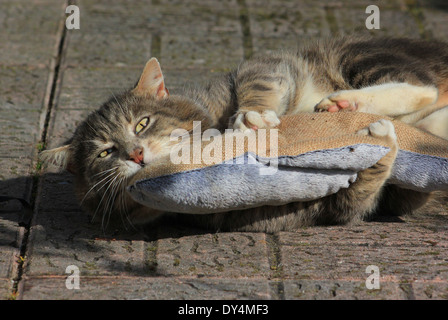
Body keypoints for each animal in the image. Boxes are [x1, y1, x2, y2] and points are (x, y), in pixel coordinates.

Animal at [39, 37, 448, 232]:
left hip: (356, 56)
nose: (136, 154)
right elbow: (360, 196)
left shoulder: (261, 67)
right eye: (104, 153)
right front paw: (382, 142)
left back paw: (344, 101)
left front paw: (251, 117)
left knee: (423, 88)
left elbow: (257, 81)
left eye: (142, 123)